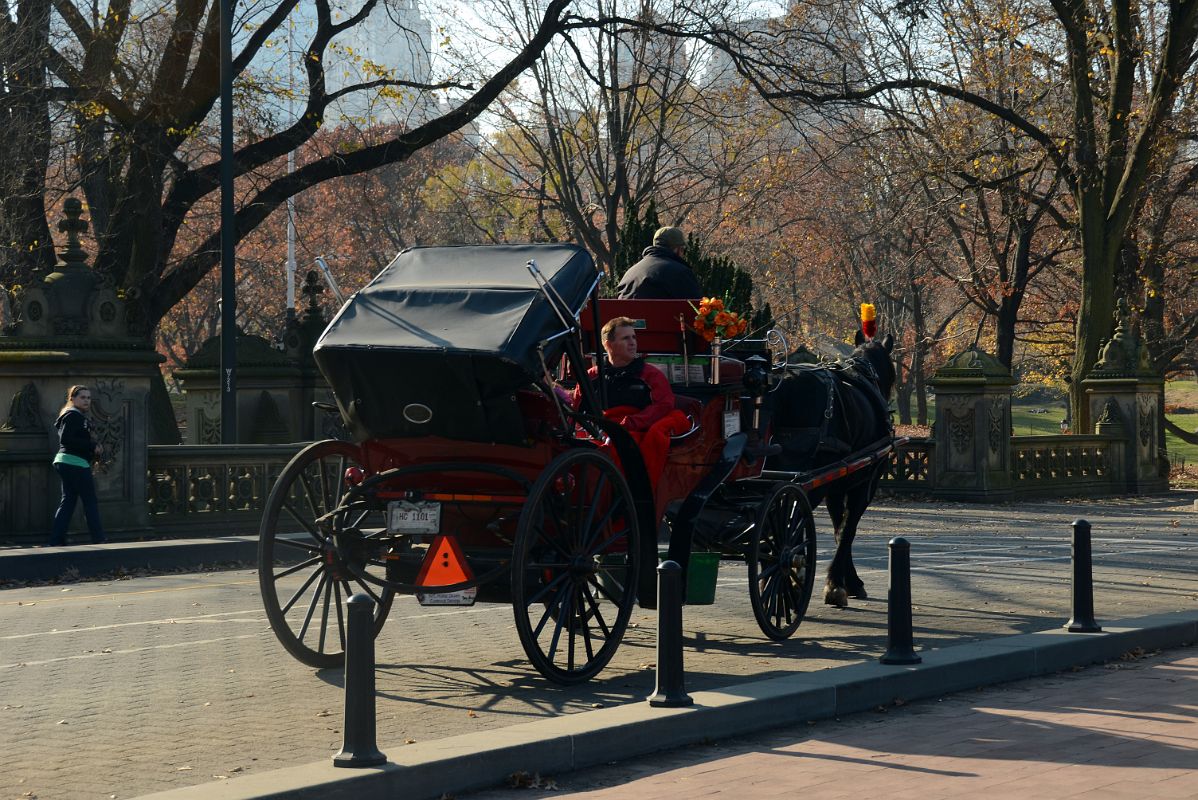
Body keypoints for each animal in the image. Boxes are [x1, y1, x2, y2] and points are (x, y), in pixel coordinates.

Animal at [771, 330, 896, 605]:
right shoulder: (864, 485)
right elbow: (848, 530)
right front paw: (838, 585)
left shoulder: (836, 488)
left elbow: (840, 529)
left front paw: (846, 580)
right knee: (790, 523)